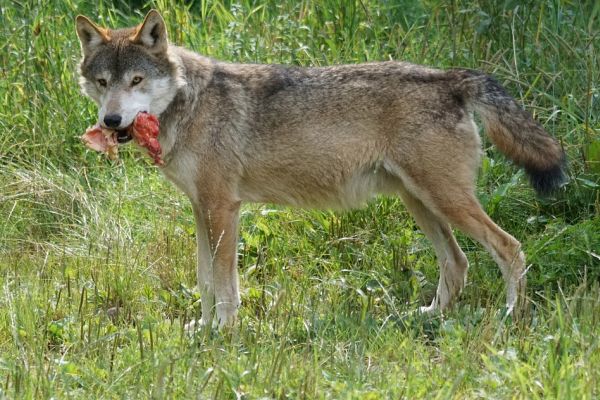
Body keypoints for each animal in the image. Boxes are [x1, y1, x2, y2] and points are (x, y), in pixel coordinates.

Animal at [76, 10, 568, 328]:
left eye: (136, 81)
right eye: (102, 83)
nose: (111, 121)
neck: (187, 105)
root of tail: (450, 77)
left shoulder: (223, 209)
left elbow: (224, 285)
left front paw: (224, 333)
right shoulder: (202, 210)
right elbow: (204, 280)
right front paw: (202, 329)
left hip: (444, 201)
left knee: (510, 248)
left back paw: (510, 317)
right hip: (419, 202)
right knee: (458, 262)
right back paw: (429, 317)